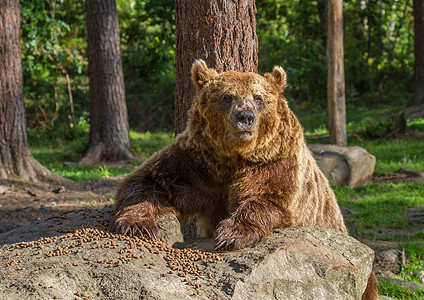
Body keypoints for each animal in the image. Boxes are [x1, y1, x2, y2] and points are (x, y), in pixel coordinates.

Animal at [110, 59, 378, 298]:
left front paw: (231, 233)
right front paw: (138, 224)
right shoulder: (197, 164)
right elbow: (149, 179)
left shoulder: (275, 161)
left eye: (259, 98)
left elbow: (269, 199)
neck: (234, 158)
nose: (245, 117)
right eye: (227, 96)